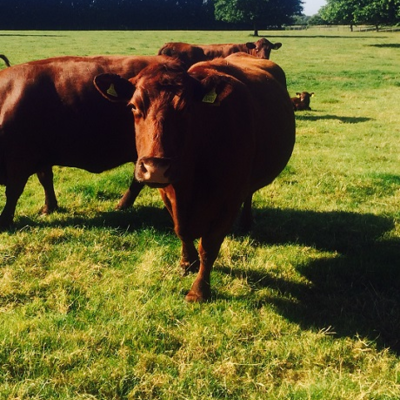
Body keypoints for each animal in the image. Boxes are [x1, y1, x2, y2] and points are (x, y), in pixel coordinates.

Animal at [0, 53, 170, 230]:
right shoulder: (41, 155)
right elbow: (45, 178)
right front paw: (49, 207)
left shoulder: (20, 159)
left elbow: (14, 191)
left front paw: (4, 220)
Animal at [93, 54, 294, 302]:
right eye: (133, 106)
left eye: (187, 108)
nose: (155, 168)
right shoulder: (168, 192)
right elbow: (181, 230)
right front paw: (187, 262)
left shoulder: (229, 200)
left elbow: (209, 246)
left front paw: (199, 290)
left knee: (250, 194)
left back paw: (246, 222)